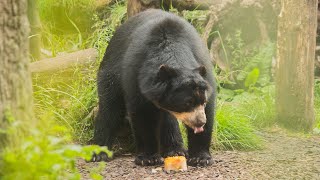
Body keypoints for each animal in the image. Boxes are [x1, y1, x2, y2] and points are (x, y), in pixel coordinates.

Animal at [92, 9, 215, 167]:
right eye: (187, 103)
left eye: (202, 102)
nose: (200, 122)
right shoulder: (137, 74)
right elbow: (142, 114)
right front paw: (148, 158)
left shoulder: (203, 67)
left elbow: (209, 110)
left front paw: (201, 158)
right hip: (110, 73)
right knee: (109, 108)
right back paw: (98, 154)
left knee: (167, 119)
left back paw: (175, 150)